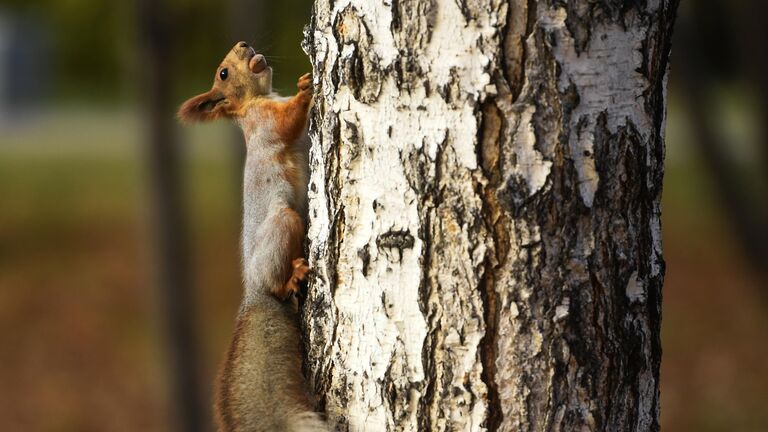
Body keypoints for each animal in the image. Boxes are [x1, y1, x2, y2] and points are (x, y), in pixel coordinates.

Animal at [178, 41, 328, 432]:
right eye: (223, 73)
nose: (243, 44)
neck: (256, 101)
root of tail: (254, 292)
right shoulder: (266, 123)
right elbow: (287, 121)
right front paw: (305, 87)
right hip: (284, 223)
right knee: (278, 282)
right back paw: (292, 277)